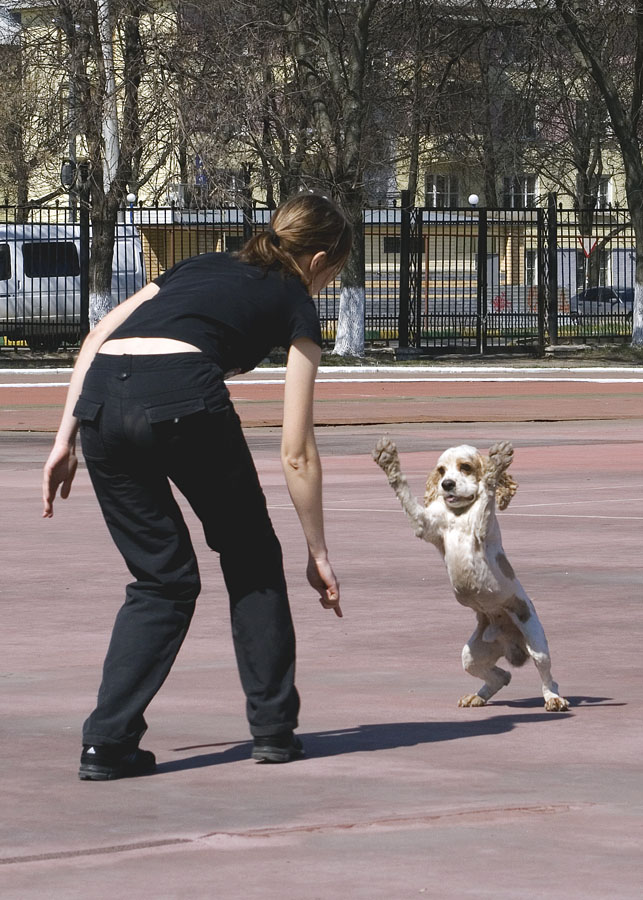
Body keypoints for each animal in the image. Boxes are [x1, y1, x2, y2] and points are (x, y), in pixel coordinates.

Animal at [372, 436, 568, 712]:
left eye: (465, 467)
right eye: (441, 470)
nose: (447, 484)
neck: (459, 514)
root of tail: (511, 644)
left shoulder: (481, 530)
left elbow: (487, 491)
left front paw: (496, 464)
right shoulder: (424, 524)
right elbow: (404, 491)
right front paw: (388, 459)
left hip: (536, 641)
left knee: (548, 677)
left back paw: (553, 699)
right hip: (471, 655)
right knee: (502, 676)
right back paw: (477, 696)